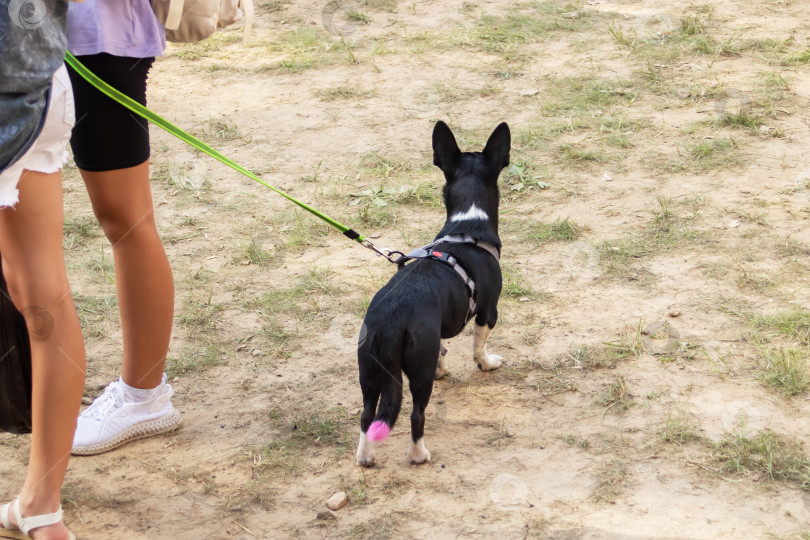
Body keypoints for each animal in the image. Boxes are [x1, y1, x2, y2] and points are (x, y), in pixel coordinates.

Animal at [356, 120, 508, 466]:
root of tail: (391, 320)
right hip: (416, 371)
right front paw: (487, 363)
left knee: (368, 415)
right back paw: (419, 454)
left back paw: (365, 456)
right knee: (416, 414)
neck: (466, 226)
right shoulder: (488, 311)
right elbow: (479, 347)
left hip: (369, 371)